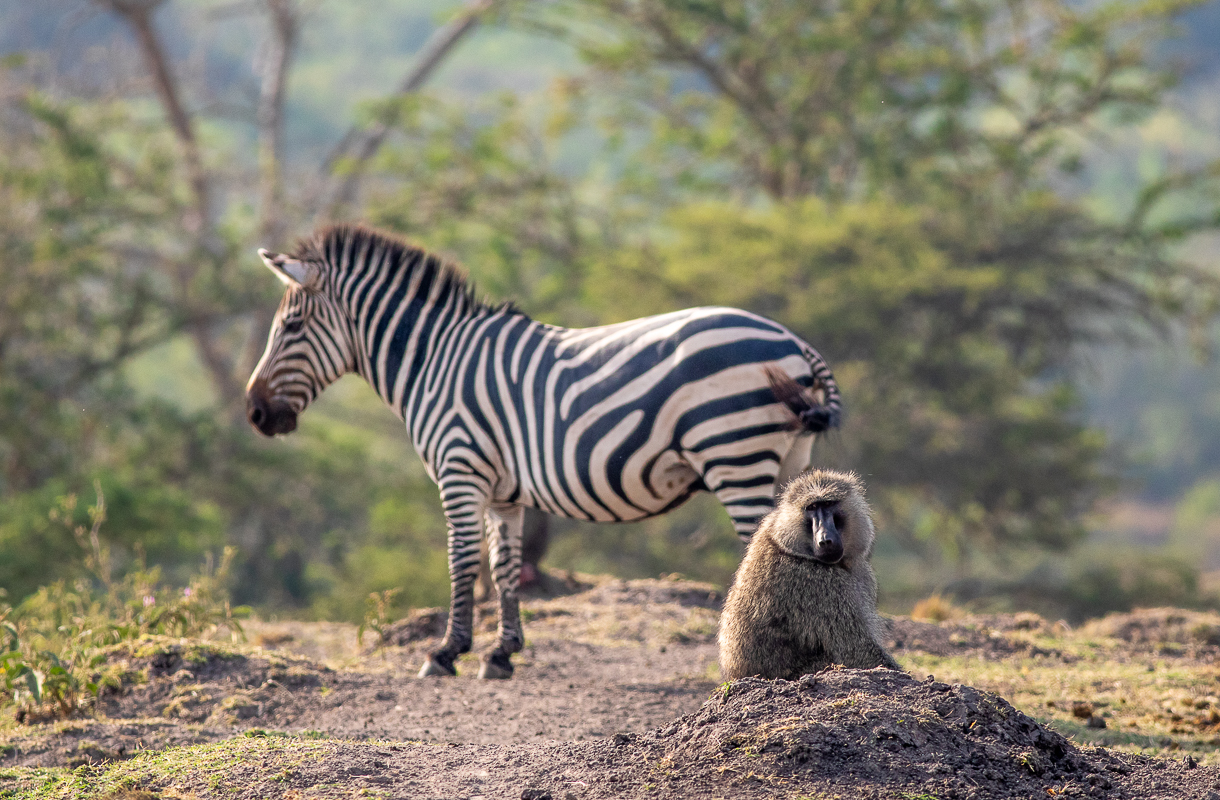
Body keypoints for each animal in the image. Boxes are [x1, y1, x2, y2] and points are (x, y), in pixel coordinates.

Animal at [246, 224, 839, 682]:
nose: (254, 413)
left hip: (733, 453)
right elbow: (504, 565)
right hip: (787, 459)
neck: (433, 360)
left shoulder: (460, 469)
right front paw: (501, 655)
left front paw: (445, 654)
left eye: (291, 327)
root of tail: (795, 342)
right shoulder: (503, 491)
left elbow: (462, 561)